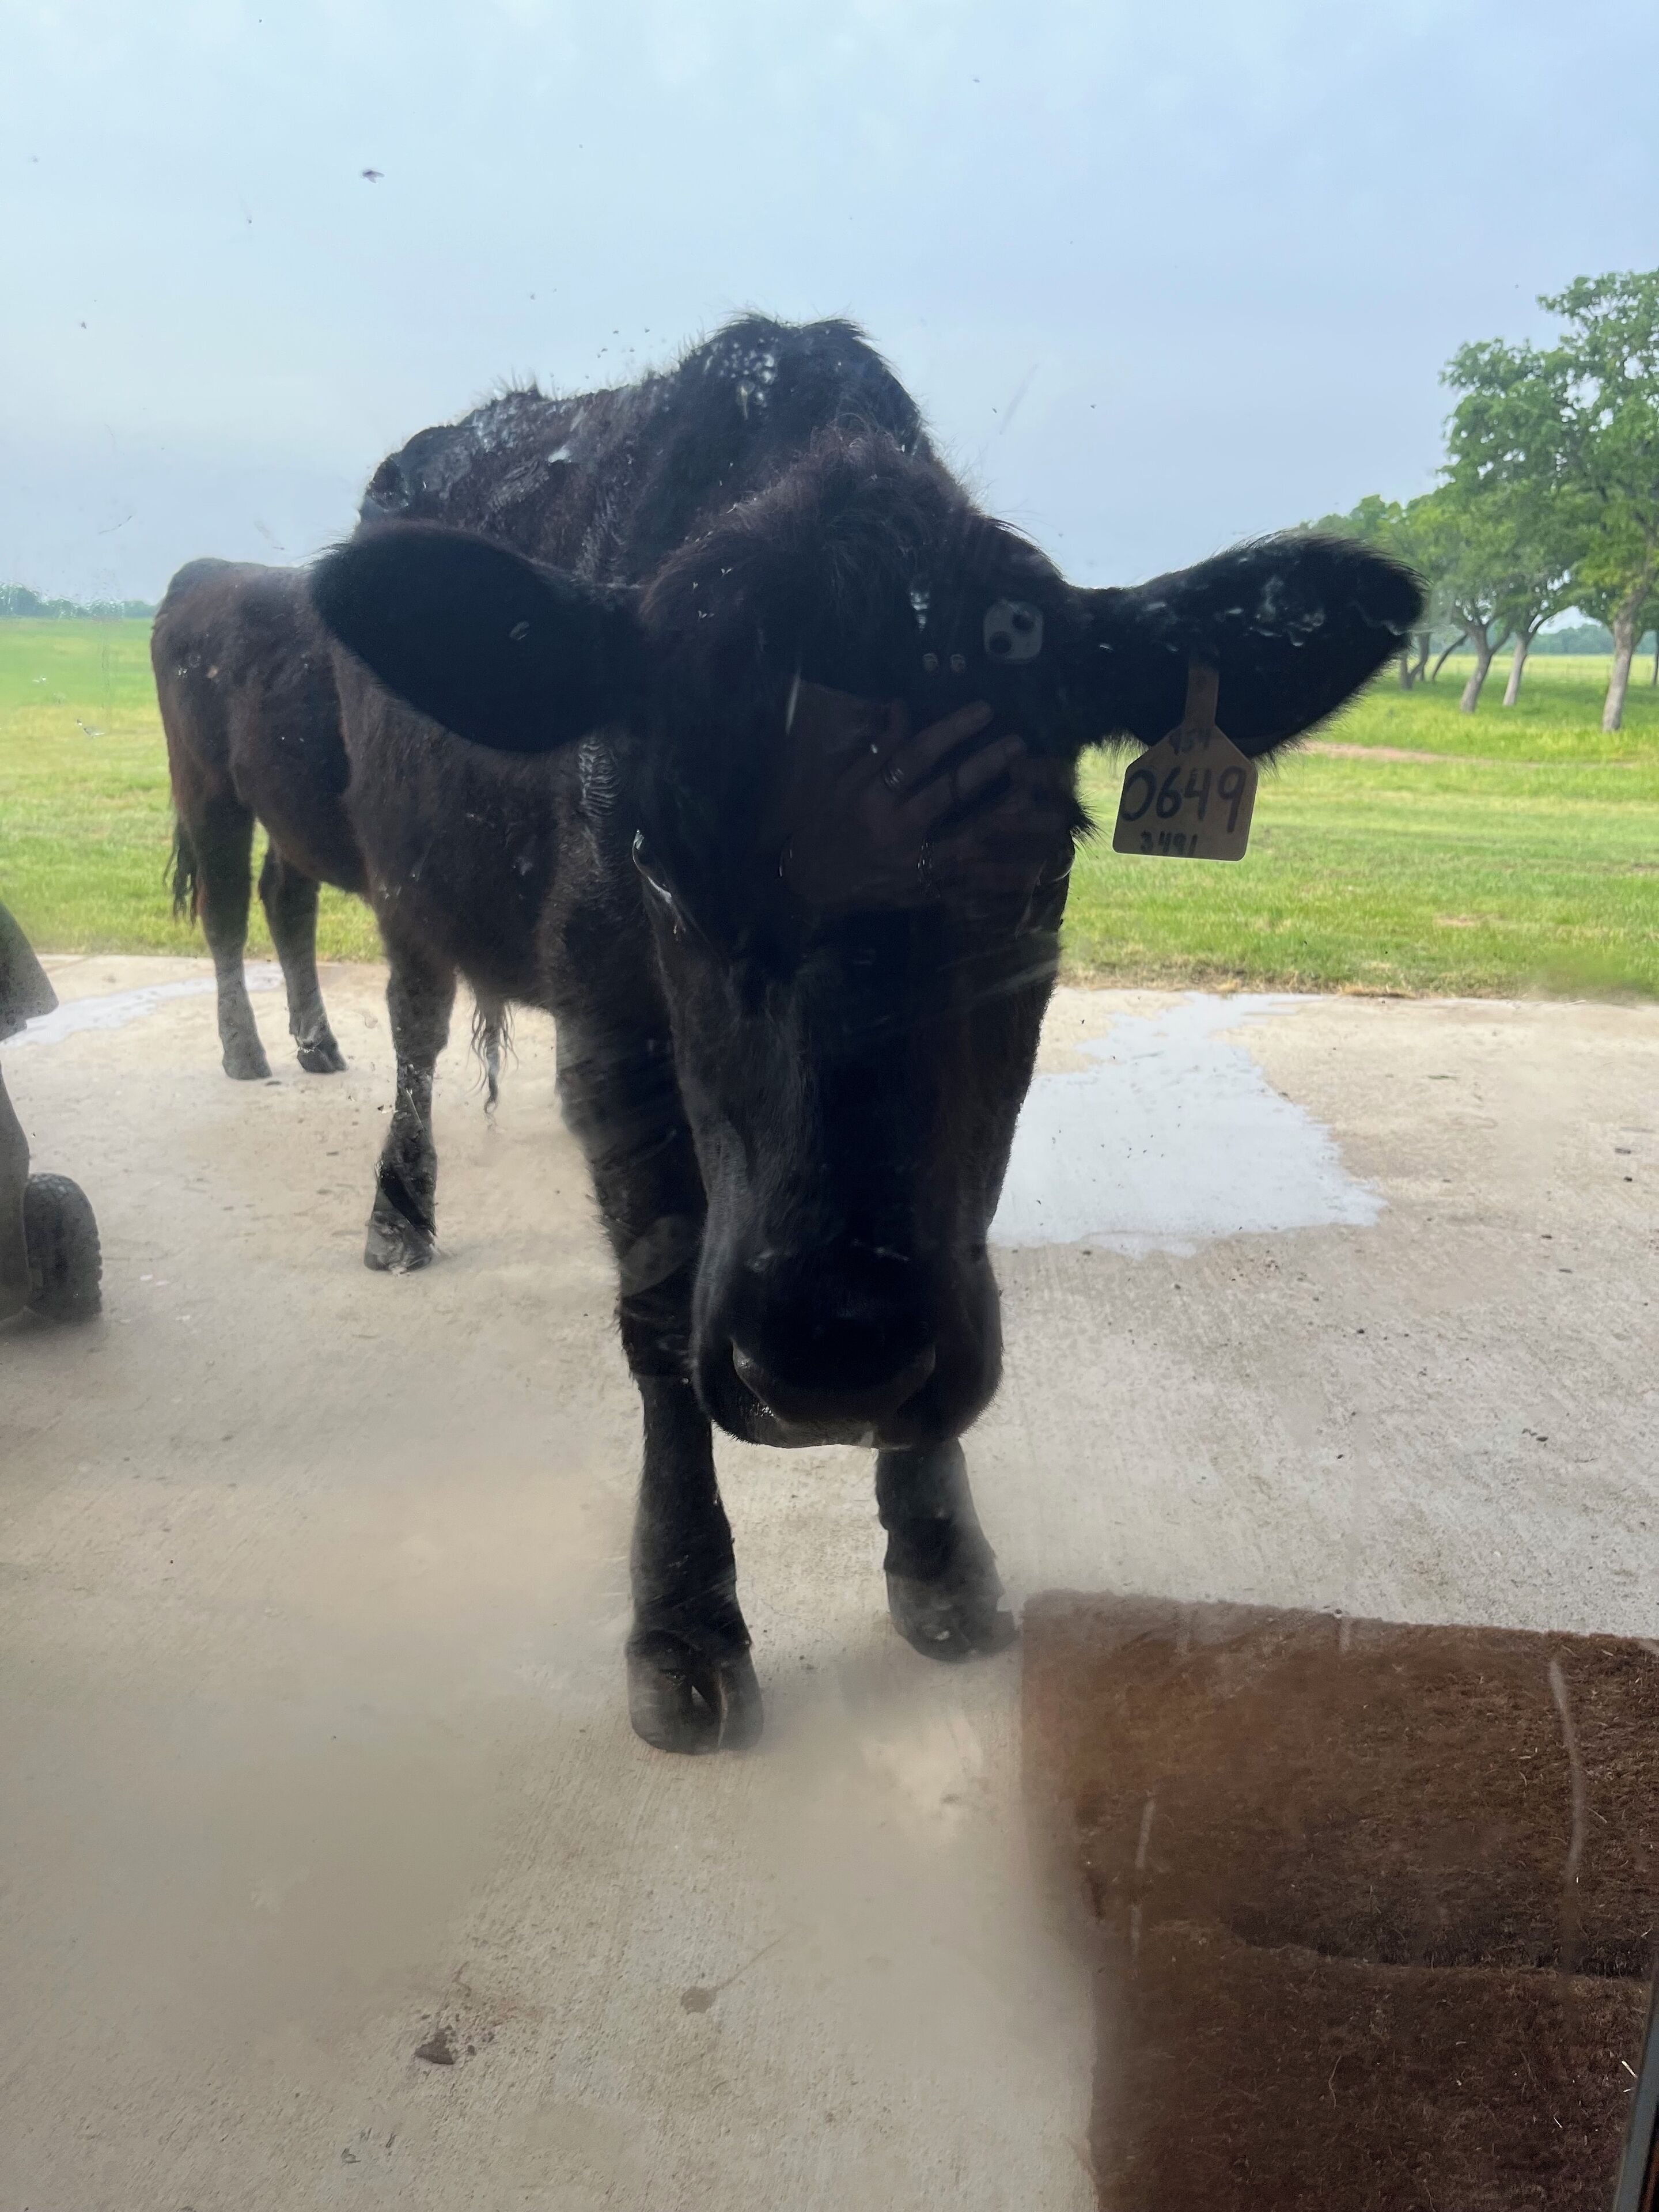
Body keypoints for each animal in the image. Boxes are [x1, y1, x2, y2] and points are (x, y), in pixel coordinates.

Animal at [309, 316, 1421, 1754]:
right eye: (656, 862)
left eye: (1039, 863)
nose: (834, 1354)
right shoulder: (608, 1023)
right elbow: (658, 1314)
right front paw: (683, 1623)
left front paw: (943, 1558)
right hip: (403, 889)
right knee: (417, 1027)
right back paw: (398, 1215)